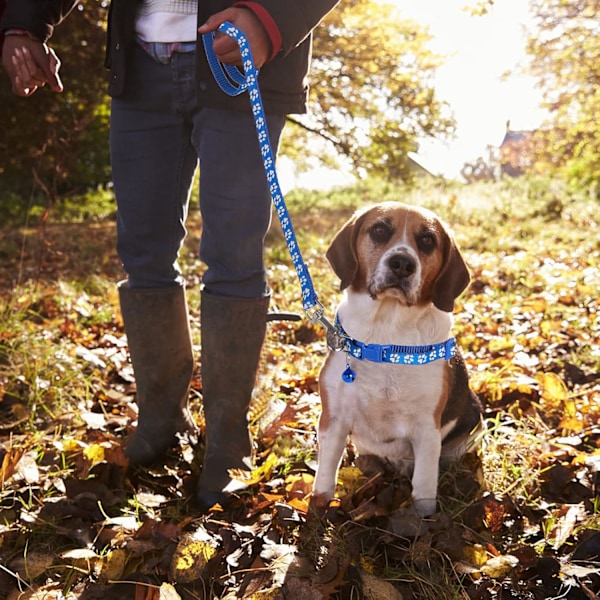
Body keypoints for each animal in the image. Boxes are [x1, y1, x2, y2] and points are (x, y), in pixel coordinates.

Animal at [312, 200, 486, 516]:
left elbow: (424, 487)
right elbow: (325, 477)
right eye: (380, 230)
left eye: (427, 240)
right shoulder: (334, 419)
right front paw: (316, 514)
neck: (387, 334)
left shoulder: (426, 429)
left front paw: (423, 522)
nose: (403, 264)